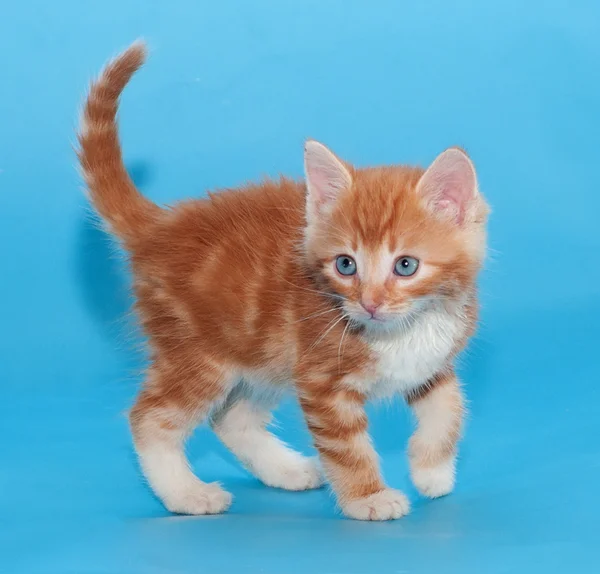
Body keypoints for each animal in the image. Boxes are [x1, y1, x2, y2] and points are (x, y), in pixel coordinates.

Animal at [78, 44, 488, 520]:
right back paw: (185, 493)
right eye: (345, 265)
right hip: (200, 351)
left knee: (231, 418)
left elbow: (451, 408)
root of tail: (161, 226)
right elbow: (346, 447)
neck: (404, 329)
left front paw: (432, 471)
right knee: (150, 417)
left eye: (405, 266)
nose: (369, 304)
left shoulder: (433, 362)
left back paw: (286, 471)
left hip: (262, 354)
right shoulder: (322, 380)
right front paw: (368, 496)